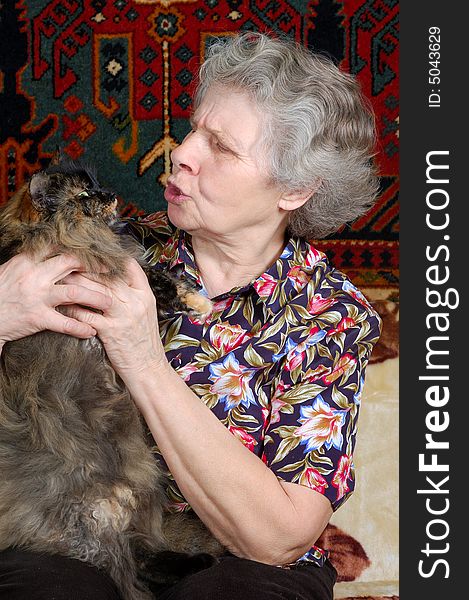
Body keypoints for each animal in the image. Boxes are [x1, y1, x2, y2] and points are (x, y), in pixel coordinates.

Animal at [0, 158, 223, 600]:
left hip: (138, 493)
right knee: (131, 560)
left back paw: (202, 562)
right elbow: (153, 276)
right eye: (86, 194)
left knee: (139, 556)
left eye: (98, 185)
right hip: (89, 522)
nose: (110, 194)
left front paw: (199, 300)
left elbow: (156, 273)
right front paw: (198, 300)